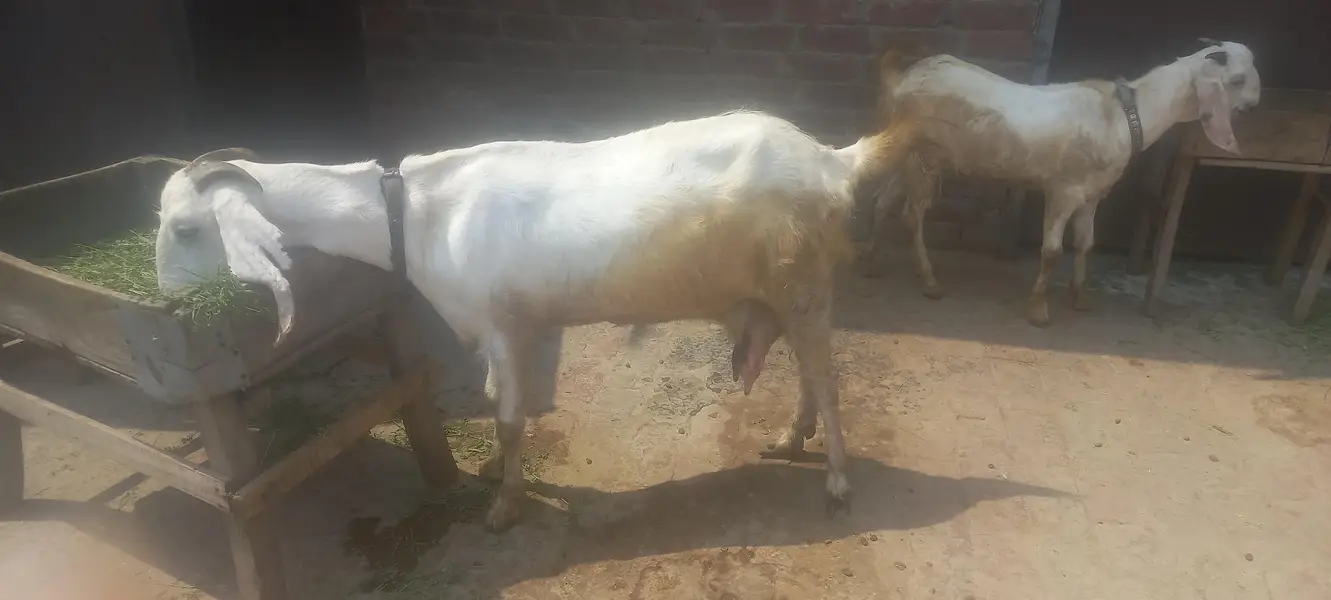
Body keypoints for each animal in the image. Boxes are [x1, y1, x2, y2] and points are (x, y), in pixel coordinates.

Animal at [155, 110, 919, 532]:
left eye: (187, 228)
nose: (162, 301)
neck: (417, 215)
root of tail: (830, 160)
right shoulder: (506, 332)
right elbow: (503, 404)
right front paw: (498, 472)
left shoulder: (503, 326)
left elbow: (509, 415)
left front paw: (504, 506)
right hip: (786, 293)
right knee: (807, 372)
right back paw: (791, 440)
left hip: (805, 287)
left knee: (828, 381)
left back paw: (838, 485)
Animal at [858, 39, 1261, 326]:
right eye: (1237, 80)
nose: (1253, 108)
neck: (1123, 115)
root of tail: (900, 79)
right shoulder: (1063, 190)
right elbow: (1052, 251)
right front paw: (1038, 310)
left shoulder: (1093, 194)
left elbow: (1086, 244)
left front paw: (1080, 298)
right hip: (921, 157)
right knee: (911, 215)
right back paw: (929, 282)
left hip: (906, 155)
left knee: (882, 201)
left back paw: (873, 264)